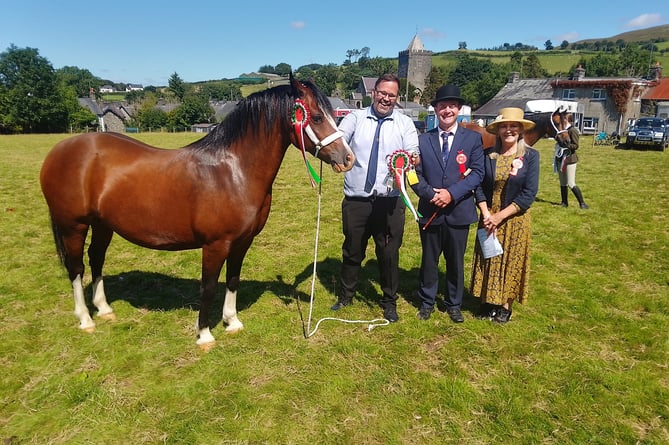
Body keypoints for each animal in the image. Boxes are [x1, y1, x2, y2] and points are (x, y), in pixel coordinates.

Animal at [39, 74, 354, 348]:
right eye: (316, 117)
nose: (347, 158)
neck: (234, 172)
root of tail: (59, 150)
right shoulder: (215, 245)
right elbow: (209, 286)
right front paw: (204, 335)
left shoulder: (242, 242)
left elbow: (233, 280)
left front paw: (232, 322)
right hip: (73, 226)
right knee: (77, 268)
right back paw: (85, 319)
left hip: (103, 224)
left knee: (97, 259)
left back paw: (103, 308)